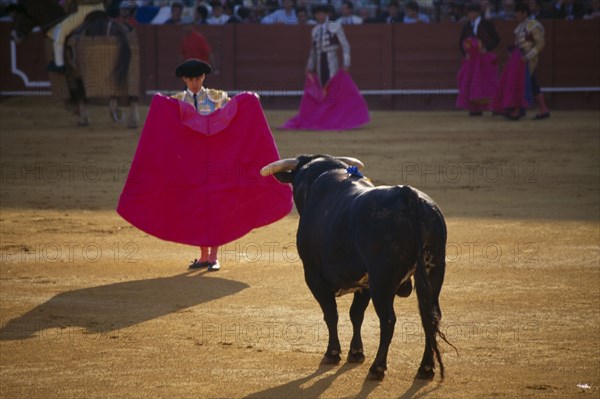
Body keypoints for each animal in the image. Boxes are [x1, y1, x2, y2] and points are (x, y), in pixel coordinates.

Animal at [260, 155, 452, 382]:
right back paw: (426, 368)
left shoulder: (313, 275)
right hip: (432, 271)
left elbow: (331, 314)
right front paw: (356, 352)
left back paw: (378, 368)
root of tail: (407, 195)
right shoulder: (364, 283)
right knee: (431, 316)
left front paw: (332, 353)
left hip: (382, 280)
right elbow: (356, 314)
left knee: (388, 320)